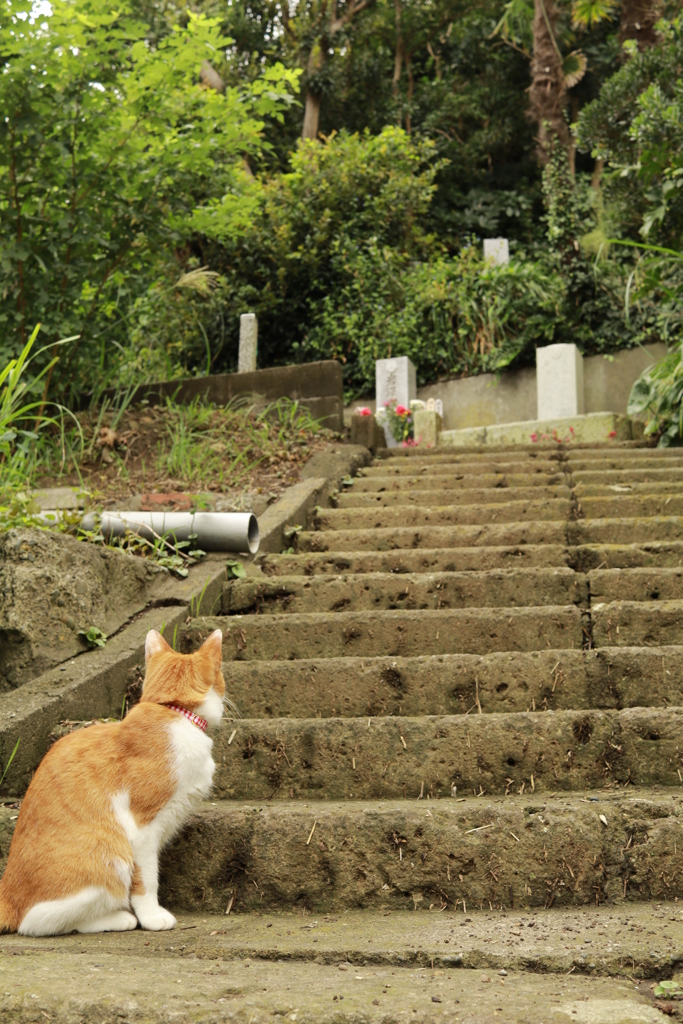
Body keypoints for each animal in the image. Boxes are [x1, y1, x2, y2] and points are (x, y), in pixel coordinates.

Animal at [0, 622, 223, 937]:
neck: (173, 712)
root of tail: (5, 891)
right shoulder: (142, 828)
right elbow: (147, 879)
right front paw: (152, 916)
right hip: (111, 857)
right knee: (37, 922)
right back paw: (118, 919)